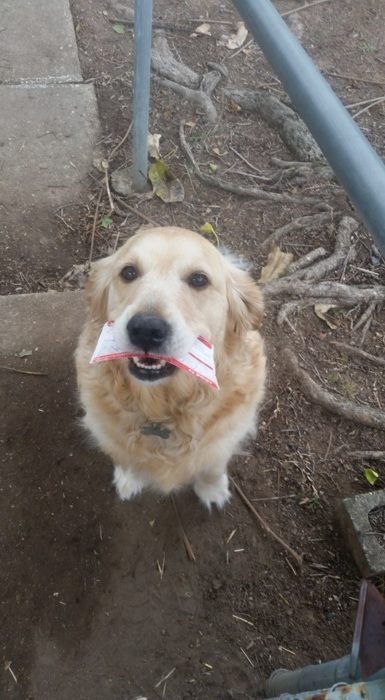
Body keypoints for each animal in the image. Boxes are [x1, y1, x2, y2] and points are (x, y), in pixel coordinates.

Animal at [76, 228, 266, 508]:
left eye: (199, 279)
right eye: (128, 272)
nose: (146, 329)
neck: (161, 411)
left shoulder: (225, 437)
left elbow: (212, 466)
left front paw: (212, 490)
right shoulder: (107, 432)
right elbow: (124, 456)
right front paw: (129, 478)